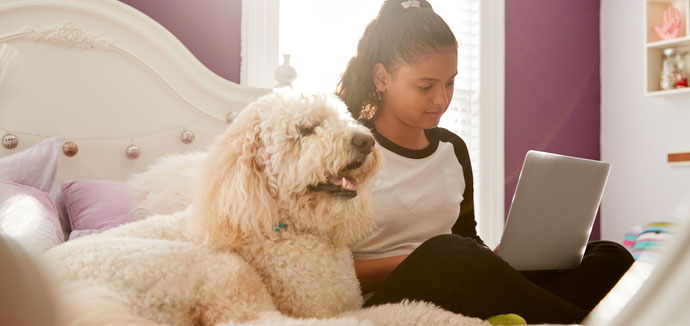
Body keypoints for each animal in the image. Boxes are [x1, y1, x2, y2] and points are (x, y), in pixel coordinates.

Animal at [41, 92, 490, 326]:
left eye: (342, 118)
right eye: (307, 130)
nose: (365, 140)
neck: (291, 228)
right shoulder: (316, 314)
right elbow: (394, 314)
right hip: (221, 274)